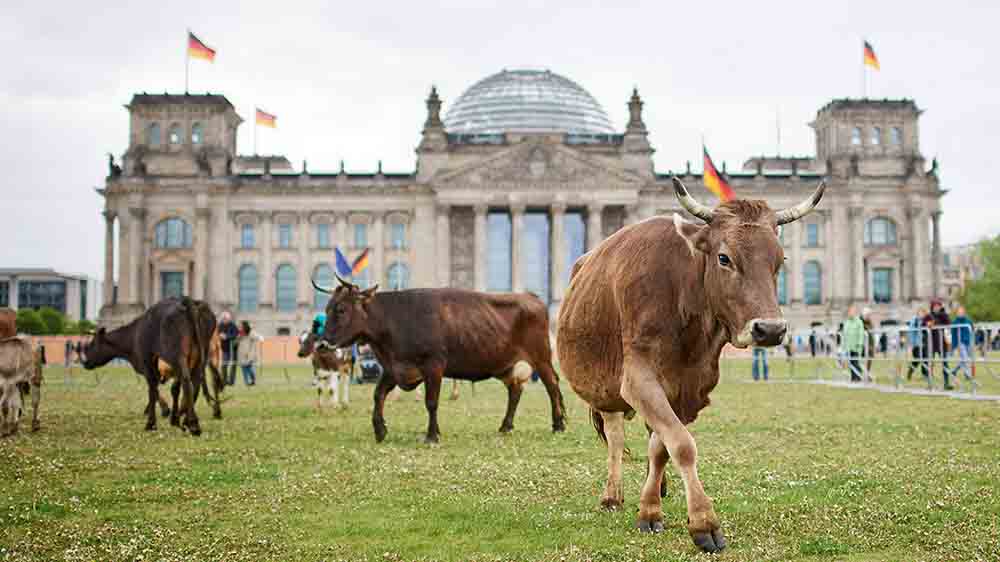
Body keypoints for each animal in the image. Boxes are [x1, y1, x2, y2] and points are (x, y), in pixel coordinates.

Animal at [81, 297, 221, 435]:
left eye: (92, 344)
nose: (85, 362)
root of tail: (187, 301)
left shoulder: (146, 363)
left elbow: (153, 389)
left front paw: (153, 421)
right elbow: (171, 389)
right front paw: (173, 417)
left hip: (177, 355)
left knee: (187, 382)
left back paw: (193, 424)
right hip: (201, 354)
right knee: (197, 382)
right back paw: (190, 420)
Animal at [312, 279, 567, 443]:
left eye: (341, 309)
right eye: (328, 308)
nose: (323, 344)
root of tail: (530, 296)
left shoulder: (433, 365)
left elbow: (431, 402)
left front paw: (432, 435)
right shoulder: (394, 368)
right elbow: (378, 394)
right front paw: (380, 430)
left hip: (541, 356)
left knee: (552, 385)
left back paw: (558, 424)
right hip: (504, 364)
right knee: (515, 390)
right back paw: (505, 426)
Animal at [557, 177, 824, 553]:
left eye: (780, 259)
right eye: (724, 257)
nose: (770, 329)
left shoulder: (691, 387)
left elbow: (663, 447)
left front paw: (650, 509)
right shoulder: (637, 379)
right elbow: (682, 445)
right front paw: (703, 523)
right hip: (605, 392)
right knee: (615, 437)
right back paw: (612, 496)